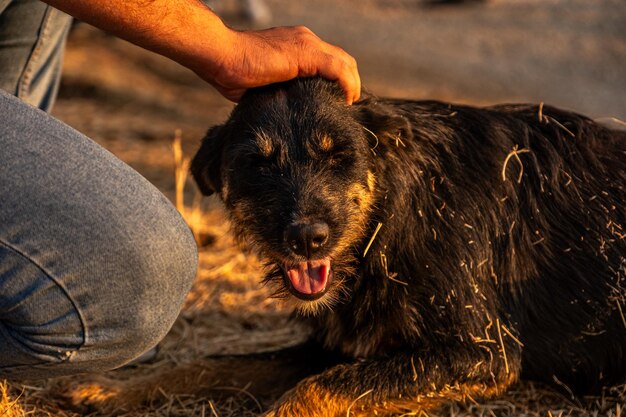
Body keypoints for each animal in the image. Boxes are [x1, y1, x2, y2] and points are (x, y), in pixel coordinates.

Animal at [188, 76, 620, 414]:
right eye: (257, 163)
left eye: (339, 155)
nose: (307, 239)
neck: (387, 225)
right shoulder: (332, 349)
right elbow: (208, 366)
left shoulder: (482, 353)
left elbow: (314, 389)